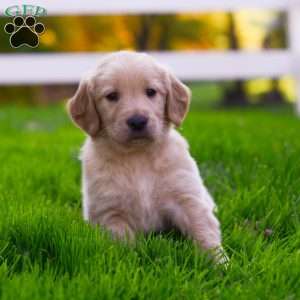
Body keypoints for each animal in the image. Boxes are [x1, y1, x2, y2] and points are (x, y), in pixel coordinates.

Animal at [67, 51, 227, 264]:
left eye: (151, 92)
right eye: (112, 96)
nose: (137, 121)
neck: (138, 156)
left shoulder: (187, 198)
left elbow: (203, 229)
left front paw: (219, 264)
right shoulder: (110, 214)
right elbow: (123, 243)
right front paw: (131, 262)